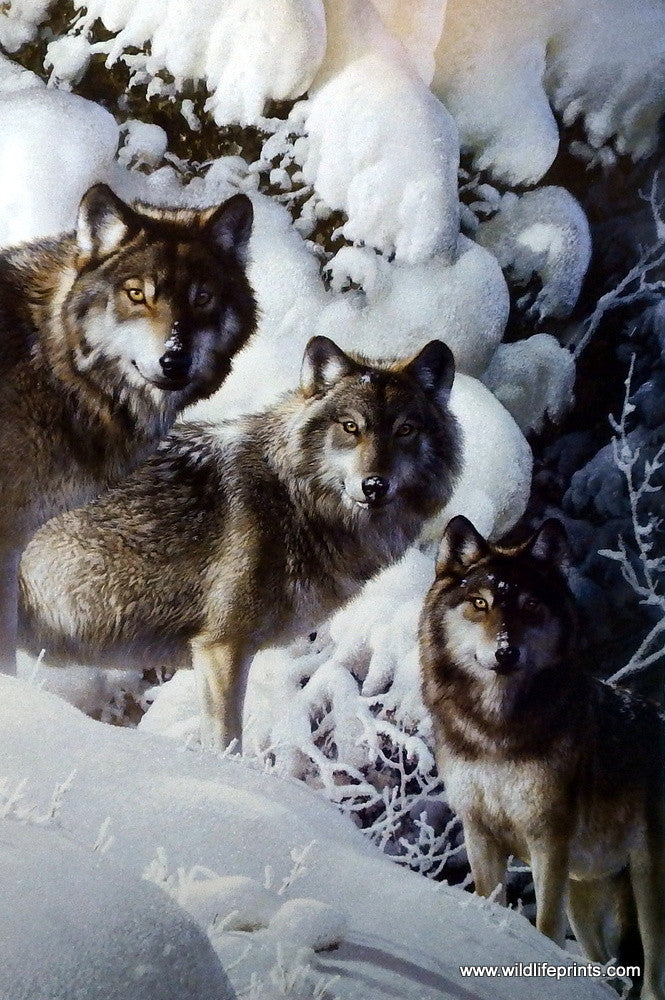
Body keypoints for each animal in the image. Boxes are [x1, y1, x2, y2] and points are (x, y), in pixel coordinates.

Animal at [20, 335, 462, 750]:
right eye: (351, 426)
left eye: (405, 430)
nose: (374, 485)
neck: (291, 497)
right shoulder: (221, 648)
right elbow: (228, 744)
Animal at [420, 515, 664, 1000]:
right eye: (480, 603)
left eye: (531, 605)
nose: (505, 652)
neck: (496, 732)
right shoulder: (479, 832)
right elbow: (492, 901)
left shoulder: (548, 836)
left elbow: (545, 926)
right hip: (587, 894)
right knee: (607, 967)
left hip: (649, 883)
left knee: (653, 977)